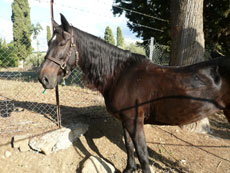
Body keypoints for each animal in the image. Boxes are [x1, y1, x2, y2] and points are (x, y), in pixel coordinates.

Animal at [39, 14, 230, 172]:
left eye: (62, 43)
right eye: (48, 43)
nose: (44, 78)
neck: (119, 74)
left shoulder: (135, 122)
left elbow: (142, 154)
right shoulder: (125, 120)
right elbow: (129, 147)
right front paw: (129, 168)